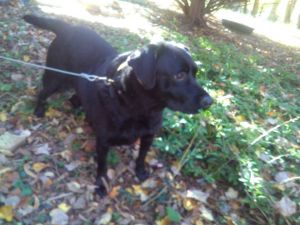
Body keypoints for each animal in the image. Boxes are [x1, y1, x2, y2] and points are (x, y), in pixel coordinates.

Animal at [24, 14, 213, 196]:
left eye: (195, 74)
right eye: (179, 75)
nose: (209, 102)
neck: (138, 107)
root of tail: (68, 27)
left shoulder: (148, 135)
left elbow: (142, 155)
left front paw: (140, 170)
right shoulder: (103, 141)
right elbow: (102, 166)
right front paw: (101, 185)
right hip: (56, 78)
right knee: (43, 92)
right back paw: (39, 109)